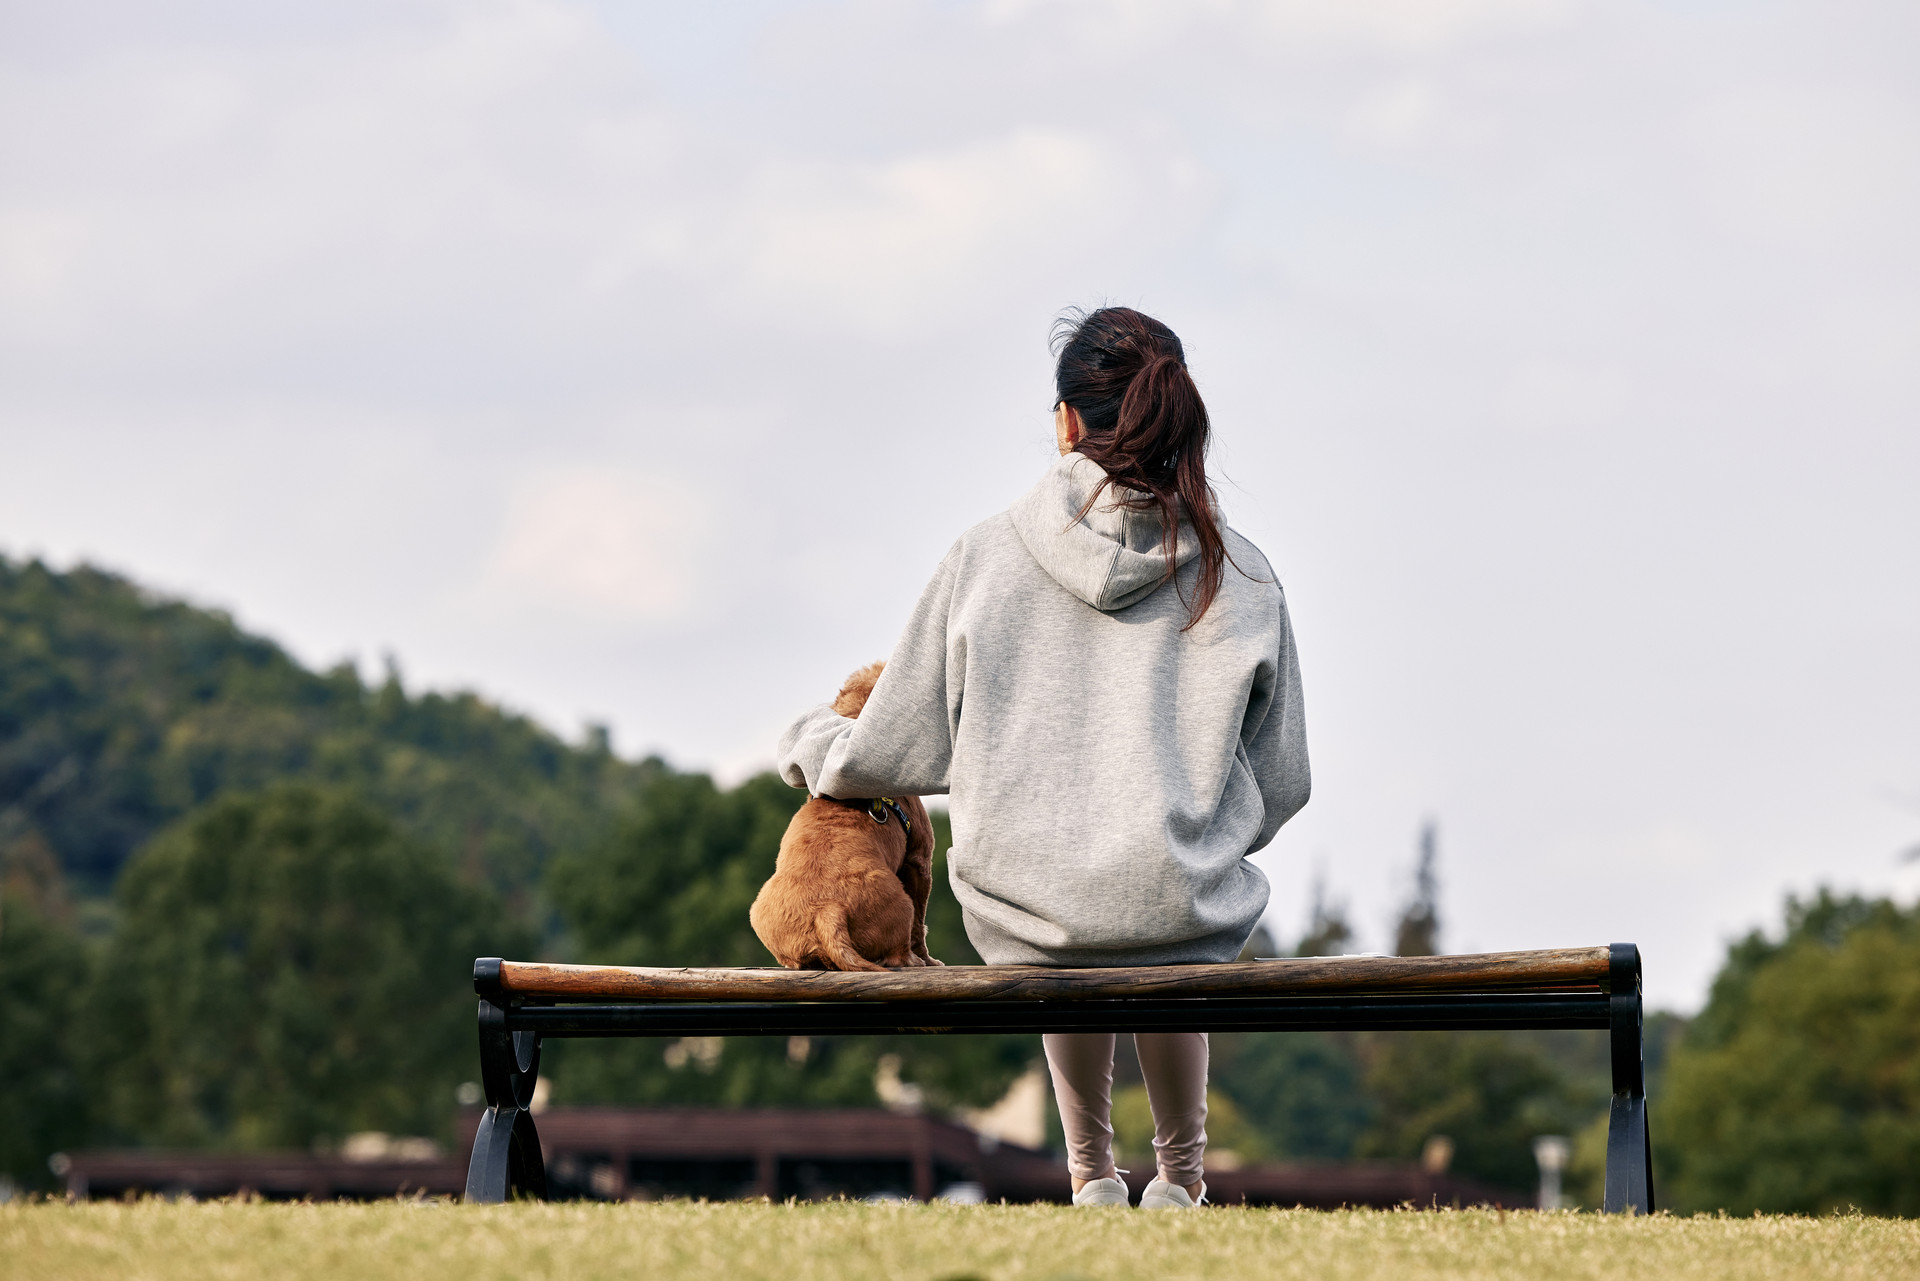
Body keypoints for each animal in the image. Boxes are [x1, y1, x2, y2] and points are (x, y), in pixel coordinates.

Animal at [744, 668, 940, 967]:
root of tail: (827, 912)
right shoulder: (919, 859)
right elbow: (921, 924)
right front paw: (929, 960)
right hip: (903, 903)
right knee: (899, 950)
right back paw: (913, 961)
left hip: (760, 913)